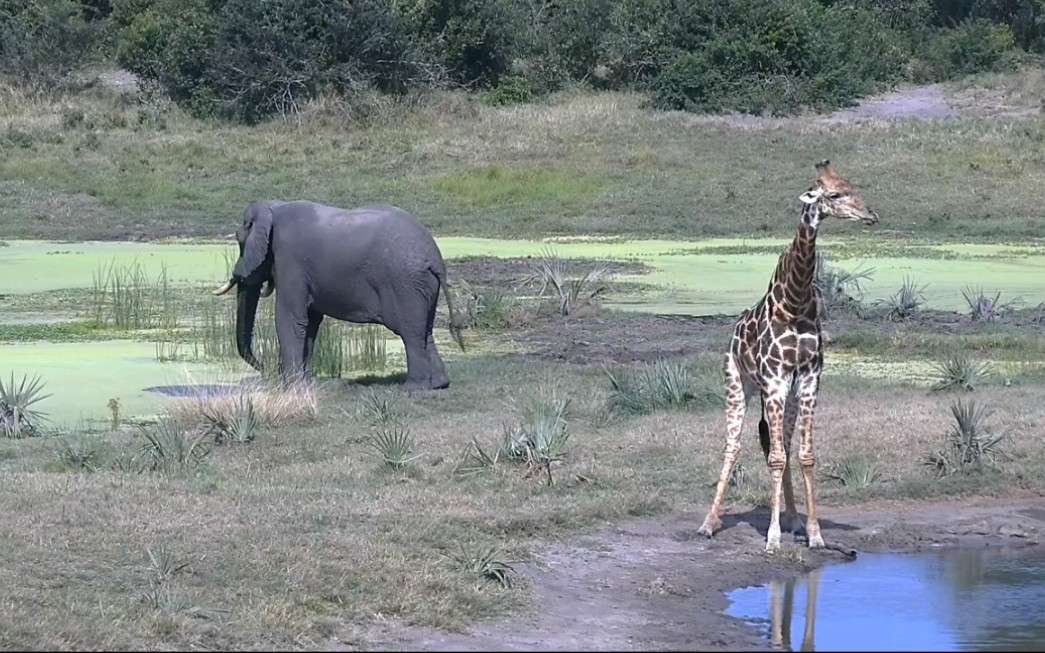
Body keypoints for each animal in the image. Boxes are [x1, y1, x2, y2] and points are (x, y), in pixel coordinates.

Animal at [214, 201, 463, 388]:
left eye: (240, 242)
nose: (265, 368)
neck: (274, 206)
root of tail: (434, 258)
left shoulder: (290, 261)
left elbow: (290, 318)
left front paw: (291, 386)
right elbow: (310, 322)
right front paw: (305, 383)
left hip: (405, 285)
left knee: (410, 332)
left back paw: (413, 389)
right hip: (423, 285)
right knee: (425, 330)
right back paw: (438, 384)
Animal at [698, 161, 877, 551]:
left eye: (852, 187)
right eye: (834, 195)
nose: (871, 215)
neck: (794, 302)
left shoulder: (808, 380)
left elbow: (804, 455)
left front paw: (814, 534)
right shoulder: (775, 381)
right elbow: (776, 457)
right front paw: (772, 538)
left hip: (785, 395)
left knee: (781, 442)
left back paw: (793, 519)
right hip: (738, 385)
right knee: (733, 446)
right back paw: (708, 522)